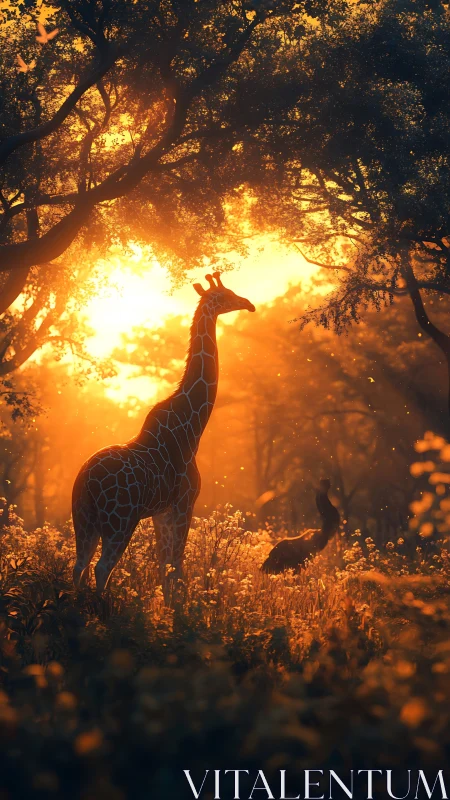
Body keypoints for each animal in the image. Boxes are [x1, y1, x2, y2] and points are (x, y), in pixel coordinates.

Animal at [72, 272, 255, 602]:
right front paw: (178, 610)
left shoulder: (162, 512)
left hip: (83, 519)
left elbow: (163, 568)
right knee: (102, 567)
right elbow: (176, 568)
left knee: (79, 565)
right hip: (120, 521)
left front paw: (168, 606)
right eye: (225, 295)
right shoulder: (184, 503)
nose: (249, 304)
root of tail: (88, 481)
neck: (191, 428)